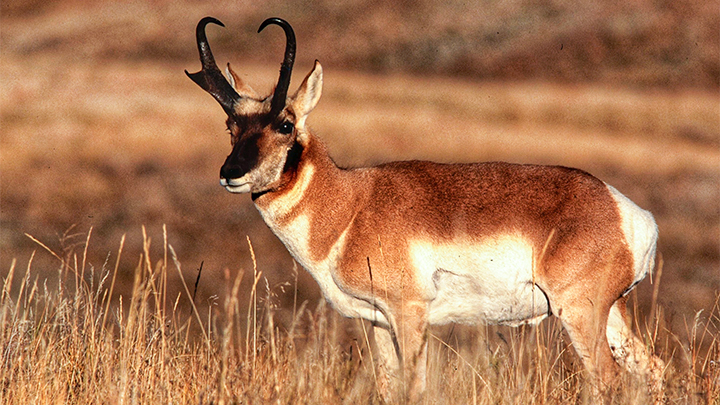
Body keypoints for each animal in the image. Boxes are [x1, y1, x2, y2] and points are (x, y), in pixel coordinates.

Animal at [184, 16, 664, 400]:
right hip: (609, 313)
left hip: (579, 312)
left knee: (607, 379)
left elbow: (414, 388)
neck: (351, 205)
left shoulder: (409, 313)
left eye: (285, 124)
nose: (231, 173)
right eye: (230, 126)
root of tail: (627, 212)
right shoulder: (378, 321)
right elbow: (387, 386)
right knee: (653, 368)